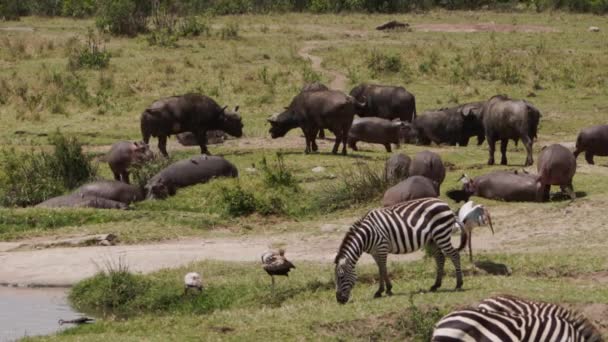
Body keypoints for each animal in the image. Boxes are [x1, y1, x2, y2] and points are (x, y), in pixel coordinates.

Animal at [332, 196, 490, 304]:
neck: (367, 235)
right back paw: (436, 285)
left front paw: (383, 290)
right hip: (433, 239)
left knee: (454, 255)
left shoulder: (382, 248)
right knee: (440, 258)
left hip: (441, 234)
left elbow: (382, 269)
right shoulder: (375, 252)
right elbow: (381, 270)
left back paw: (458, 284)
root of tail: (446, 205)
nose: (339, 300)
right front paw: (385, 289)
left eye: (341, 277)